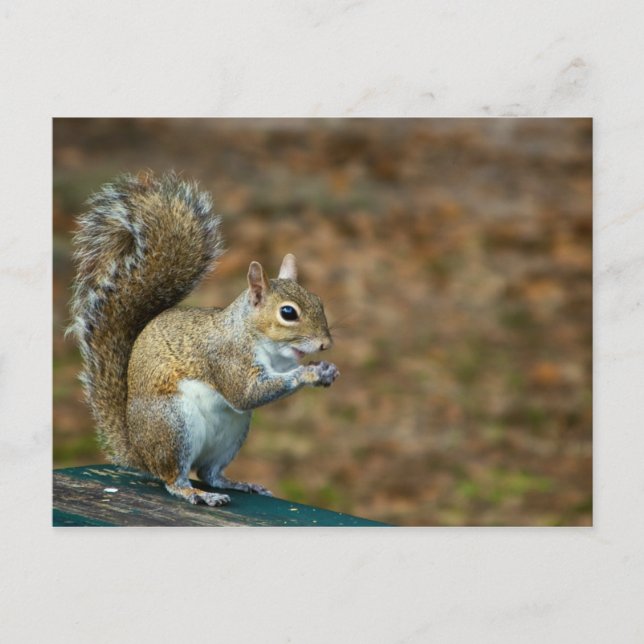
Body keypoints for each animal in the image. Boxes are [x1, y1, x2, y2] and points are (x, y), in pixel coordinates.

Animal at [68, 171, 339, 507]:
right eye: (288, 313)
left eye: (319, 301)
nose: (325, 344)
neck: (255, 337)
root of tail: (140, 453)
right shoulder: (225, 358)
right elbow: (246, 393)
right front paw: (309, 373)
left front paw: (326, 369)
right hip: (174, 426)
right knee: (175, 478)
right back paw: (196, 493)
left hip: (232, 434)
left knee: (210, 473)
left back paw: (237, 484)